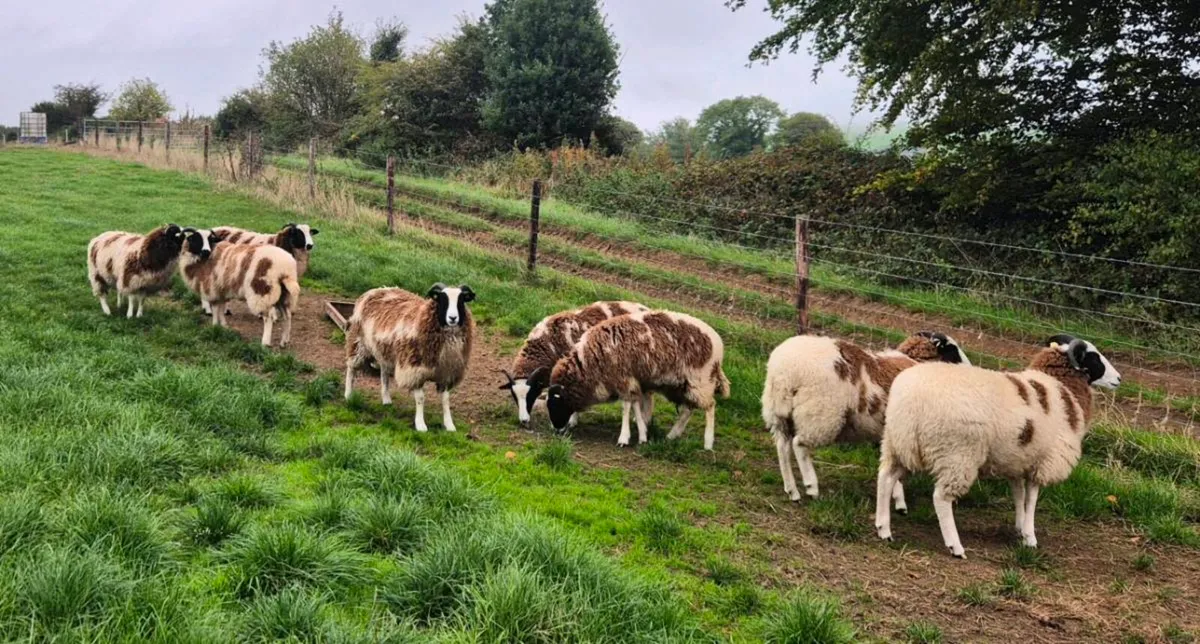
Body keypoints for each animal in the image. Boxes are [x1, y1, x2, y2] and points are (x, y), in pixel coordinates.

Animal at [343, 283, 475, 432]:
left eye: (461, 300)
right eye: (442, 299)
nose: (453, 318)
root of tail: (377, 289)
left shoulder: (446, 372)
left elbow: (446, 399)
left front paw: (449, 425)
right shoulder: (414, 370)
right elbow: (420, 398)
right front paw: (421, 425)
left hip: (384, 350)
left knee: (384, 373)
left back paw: (386, 399)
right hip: (358, 342)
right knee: (351, 368)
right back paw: (348, 395)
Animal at [500, 300, 652, 429]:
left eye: (531, 394)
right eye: (514, 396)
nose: (523, 421)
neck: (548, 344)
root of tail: (646, 308)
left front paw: (572, 420)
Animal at [546, 310, 730, 450]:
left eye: (556, 404)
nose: (556, 429)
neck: (590, 360)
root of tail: (718, 343)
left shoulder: (624, 379)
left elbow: (626, 407)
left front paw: (624, 437)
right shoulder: (632, 381)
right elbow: (635, 406)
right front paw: (642, 435)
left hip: (700, 380)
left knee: (710, 406)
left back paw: (708, 442)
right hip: (680, 386)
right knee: (687, 410)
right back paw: (672, 435)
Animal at [762, 332, 970, 505]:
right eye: (952, 349)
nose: (969, 367)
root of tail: (784, 372)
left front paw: (896, 497)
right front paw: (900, 501)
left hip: (778, 413)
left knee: (782, 446)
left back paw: (792, 491)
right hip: (819, 413)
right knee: (799, 445)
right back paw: (811, 486)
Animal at [875, 335, 1121, 558]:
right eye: (1094, 357)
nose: (1119, 378)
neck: (1063, 389)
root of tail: (912, 399)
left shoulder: (1018, 459)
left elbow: (1019, 495)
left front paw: (1020, 528)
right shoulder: (1043, 461)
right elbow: (1032, 499)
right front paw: (1030, 537)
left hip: (900, 444)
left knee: (886, 478)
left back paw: (883, 529)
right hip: (956, 454)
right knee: (941, 498)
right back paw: (955, 546)